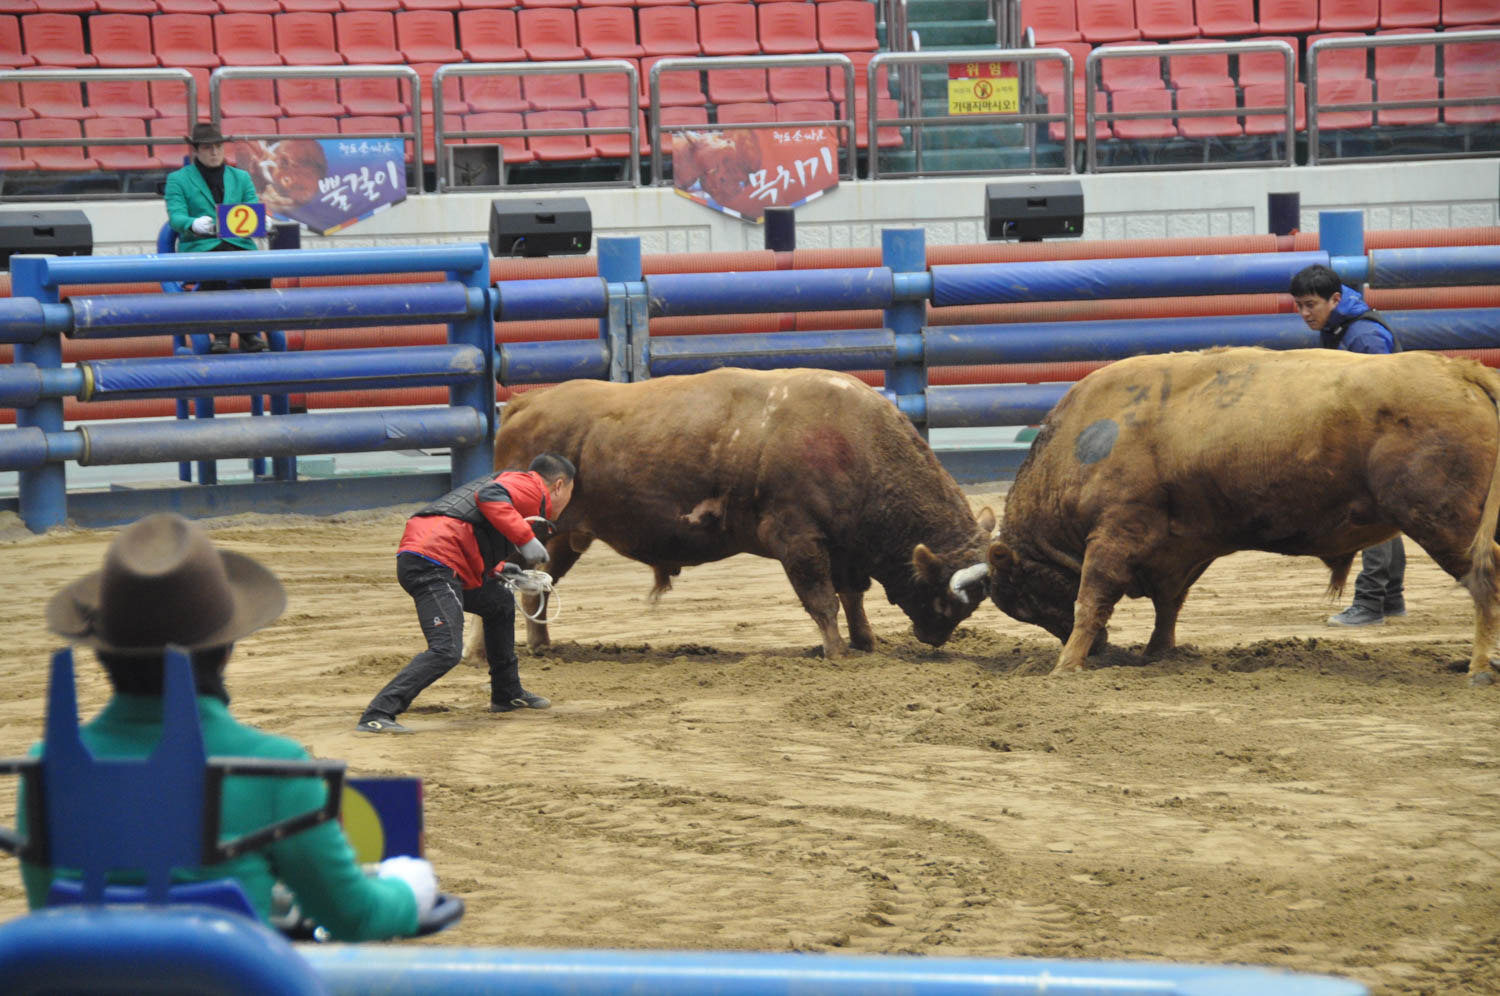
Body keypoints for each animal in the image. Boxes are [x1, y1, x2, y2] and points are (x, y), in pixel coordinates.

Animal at [492, 369, 996, 657]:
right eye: (947, 599)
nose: (934, 637)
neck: (853, 441)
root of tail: (526, 402)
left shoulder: (844, 550)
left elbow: (852, 597)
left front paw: (865, 641)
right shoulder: (800, 540)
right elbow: (823, 599)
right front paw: (836, 651)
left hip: (559, 539)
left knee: (535, 593)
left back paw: (537, 647)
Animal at [978, 346, 1500, 681]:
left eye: (1023, 599)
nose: (1104, 649)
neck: (1083, 439)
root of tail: (1459, 372)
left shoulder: (1114, 535)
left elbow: (1090, 600)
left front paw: (1065, 666)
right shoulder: (1180, 548)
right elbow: (1169, 604)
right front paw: (1157, 652)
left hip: (1444, 523)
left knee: (1484, 576)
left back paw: (1477, 668)